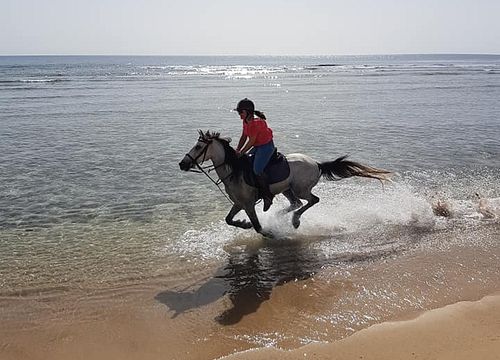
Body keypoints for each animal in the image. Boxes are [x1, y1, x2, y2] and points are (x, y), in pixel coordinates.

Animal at [178, 131, 392, 235]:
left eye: (198, 146)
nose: (182, 164)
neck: (234, 170)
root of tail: (317, 163)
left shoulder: (248, 204)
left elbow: (258, 227)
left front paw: (270, 234)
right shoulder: (239, 203)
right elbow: (228, 220)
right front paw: (244, 224)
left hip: (301, 188)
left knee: (312, 200)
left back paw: (295, 221)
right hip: (286, 189)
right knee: (296, 203)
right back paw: (282, 215)